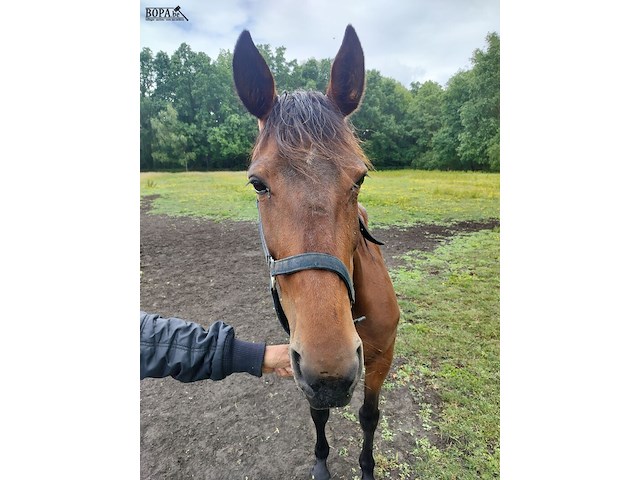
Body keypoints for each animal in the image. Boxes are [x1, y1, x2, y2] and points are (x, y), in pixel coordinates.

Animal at [232, 25, 400, 480]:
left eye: (360, 178)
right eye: (257, 184)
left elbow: (369, 416)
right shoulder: (300, 360)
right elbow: (318, 414)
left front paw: (366, 468)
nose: (330, 373)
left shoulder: (381, 358)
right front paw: (322, 463)